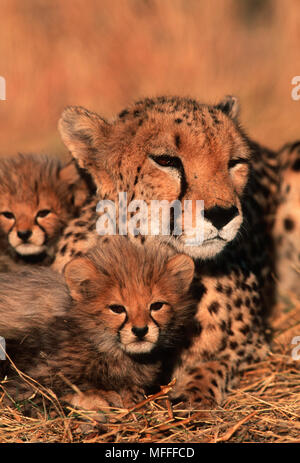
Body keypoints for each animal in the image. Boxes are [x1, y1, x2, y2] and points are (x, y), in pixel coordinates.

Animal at [0, 237, 196, 412]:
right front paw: (106, 398)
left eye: (156, 306)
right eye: (117, 308)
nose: (140, 330)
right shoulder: (25, 385)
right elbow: (60, 394)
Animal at [51, 95, 278, 410]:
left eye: (235, 162)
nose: (223, 214)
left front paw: (195, 392)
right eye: (166, 160)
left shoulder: (256, 343)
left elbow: (215, 361)